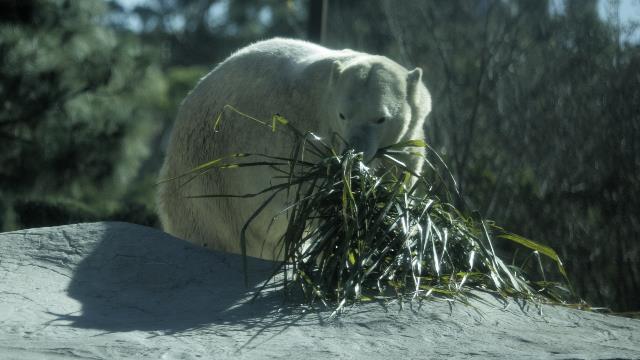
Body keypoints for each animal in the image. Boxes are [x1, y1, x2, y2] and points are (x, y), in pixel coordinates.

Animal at [158, 38, 432, 260]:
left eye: (380, 118)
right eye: (343, 115)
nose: (354, 153)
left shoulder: (408, 142)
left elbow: (397, 182)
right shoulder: (312, 141)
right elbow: (323, 202)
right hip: (208, 171)